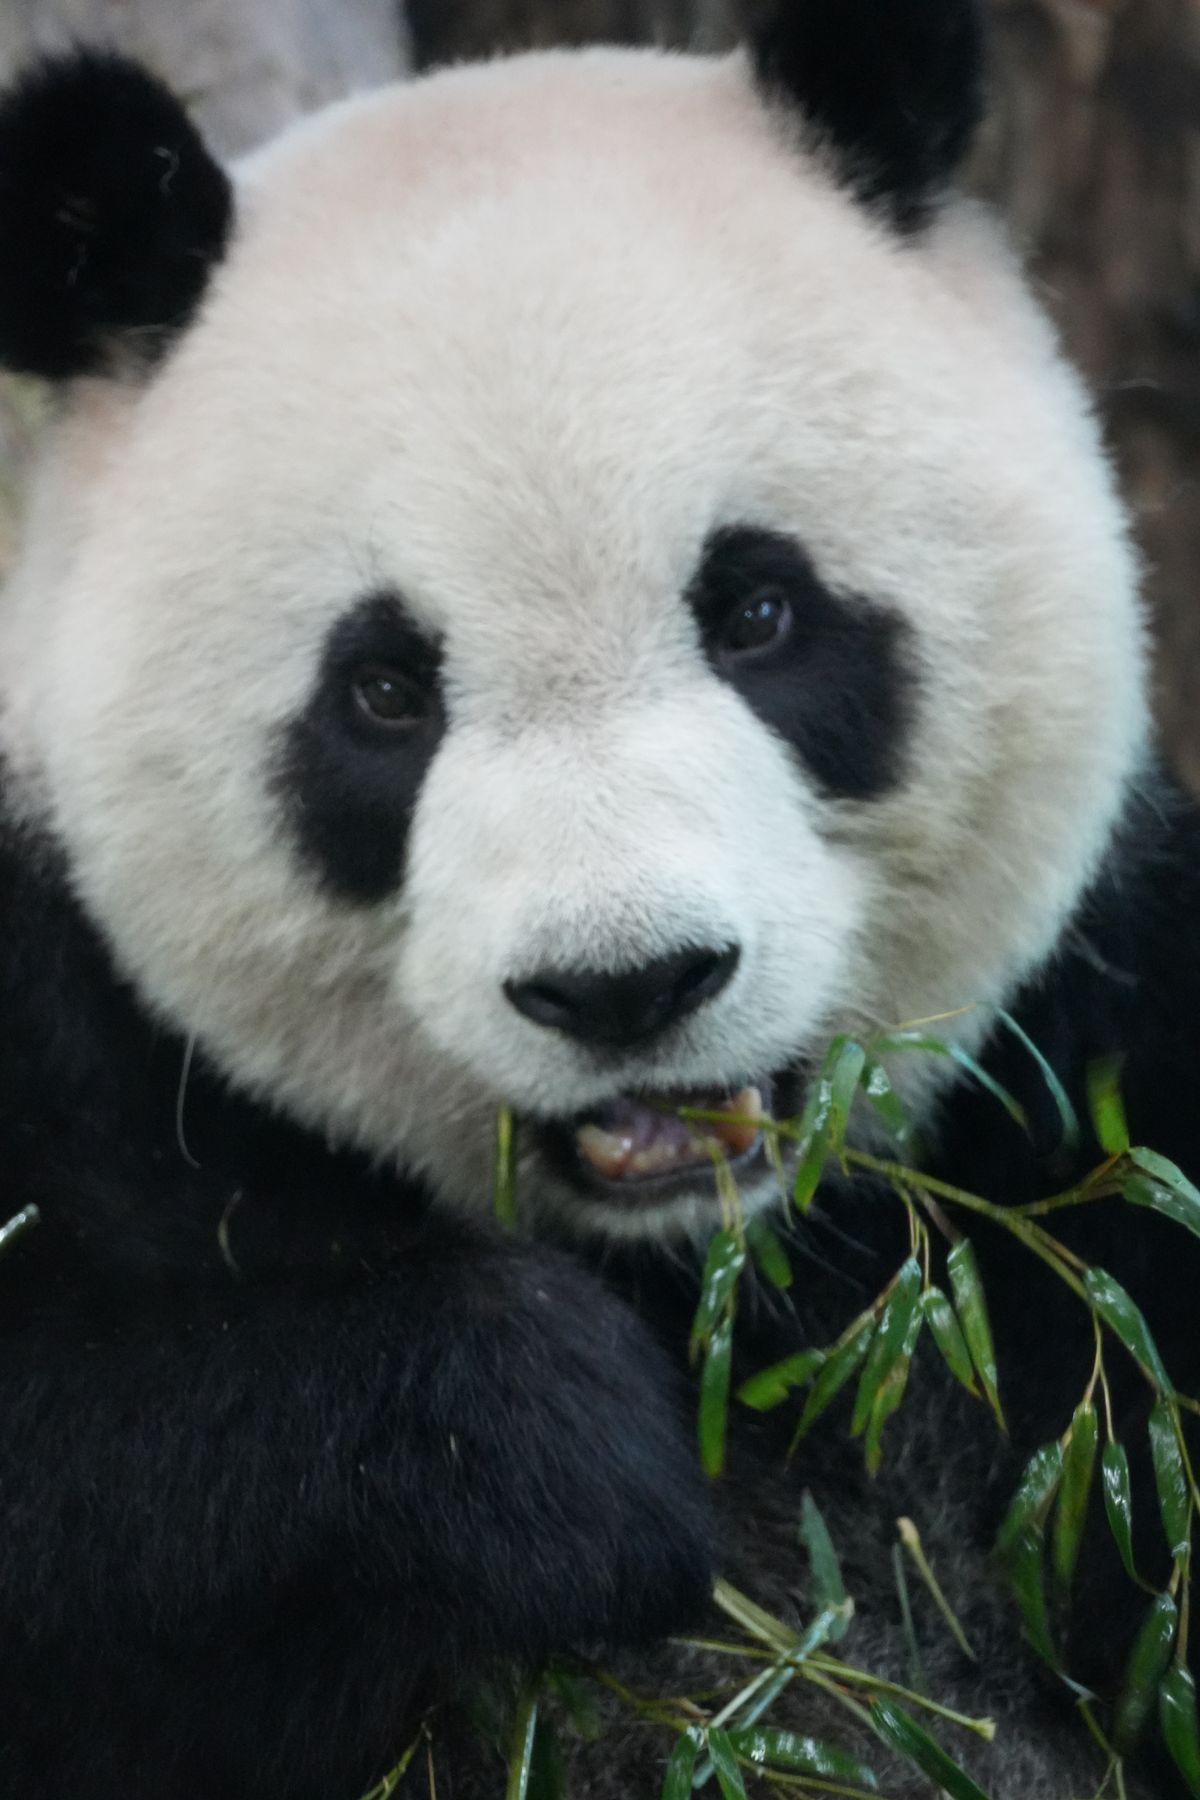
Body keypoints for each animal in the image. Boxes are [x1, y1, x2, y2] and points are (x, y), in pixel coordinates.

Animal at [1, 3, 1199, 1796]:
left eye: (758, 609)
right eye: (383, 694)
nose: (627, 986)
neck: (709, 1264)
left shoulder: (1098, 1072)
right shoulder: (61, 1030)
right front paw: (545, 1451)